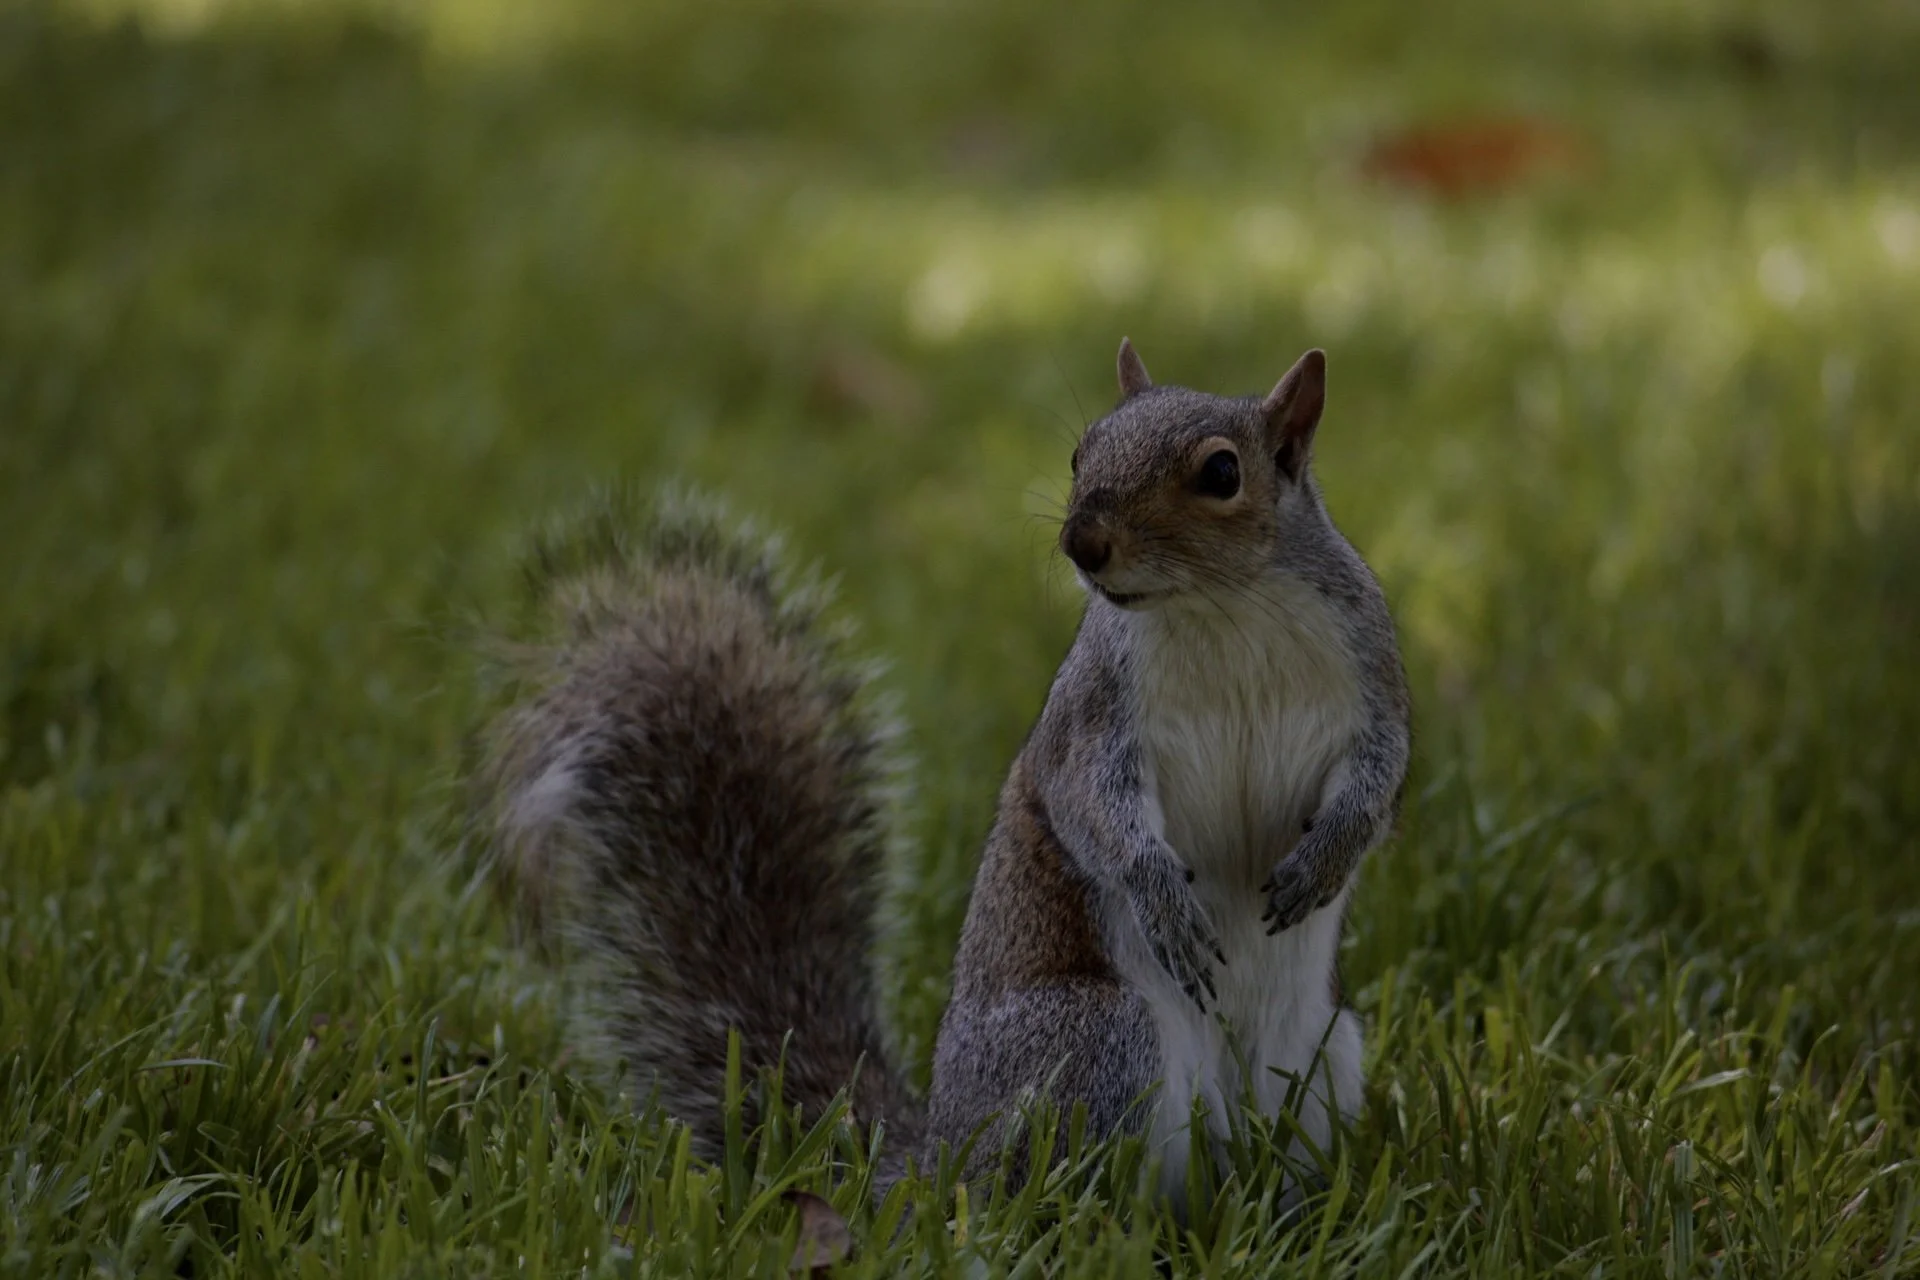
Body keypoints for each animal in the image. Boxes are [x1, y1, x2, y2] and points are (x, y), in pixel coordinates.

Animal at [476, 340, 1409, 1210]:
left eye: (1222, 472)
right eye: (1081, 453)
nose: (1083, 542)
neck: (1223, 608)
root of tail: (935, 1157)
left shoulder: (1373, 676)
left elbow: (1381, 776)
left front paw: (1327, 857)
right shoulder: (1093, 718)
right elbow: (1088, 806)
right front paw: (1163, 902)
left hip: (1324, 1053)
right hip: (1095, 1040)